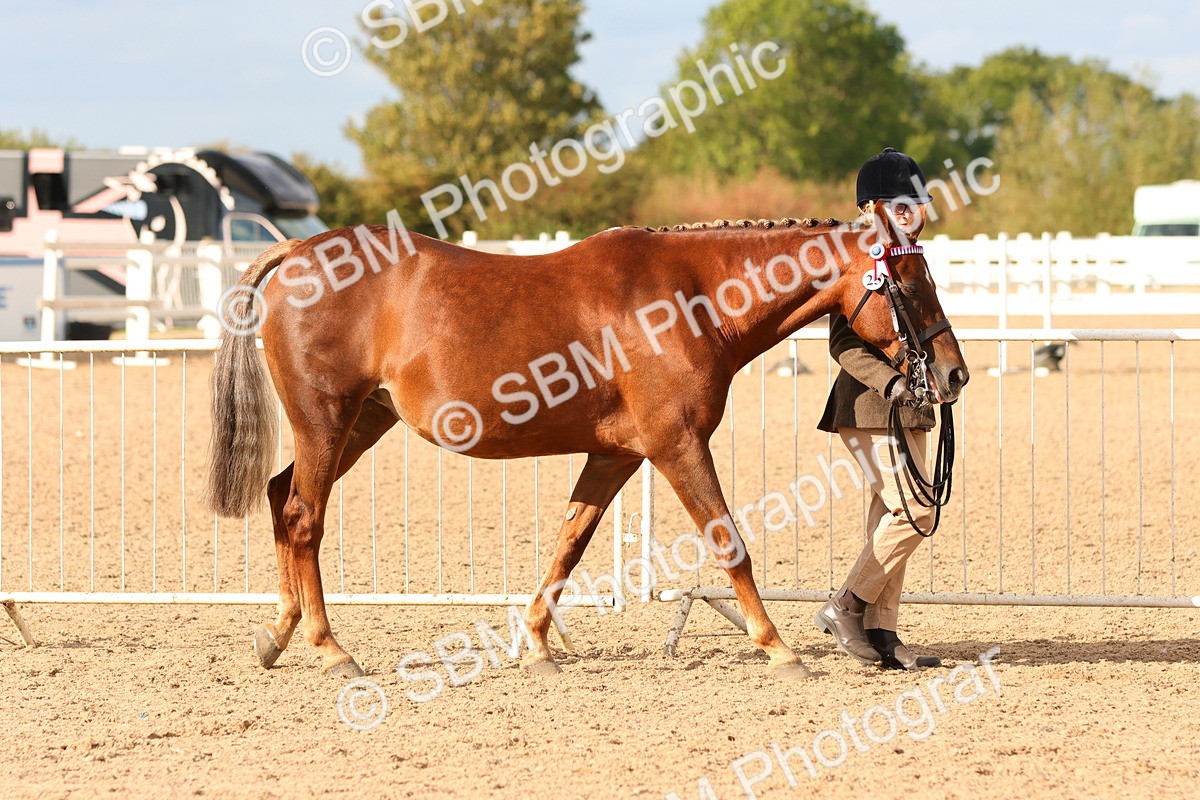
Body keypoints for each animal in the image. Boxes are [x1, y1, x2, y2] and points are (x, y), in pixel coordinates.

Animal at [204, 202, 968, 680]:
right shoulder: (676, 446)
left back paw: (277, 634)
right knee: (304, 518)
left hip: (361, 422)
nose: (954, 373)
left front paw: (538, 647)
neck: (688, 300)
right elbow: (730, 544)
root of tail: (299, 251)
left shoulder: (616, 455)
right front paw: (778, 648)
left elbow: (570, 543)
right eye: (907, 282)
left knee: (280, 499)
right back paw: (331, 649)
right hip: (326, 420)